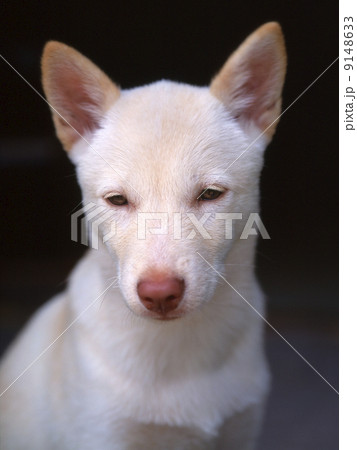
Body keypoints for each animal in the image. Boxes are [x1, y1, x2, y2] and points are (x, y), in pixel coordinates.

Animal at [0, 22, 284, 448]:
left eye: (210, 194)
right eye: (117, 200)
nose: (159, 294)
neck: (178, 352)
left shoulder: (242, 431)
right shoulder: (100, 434)